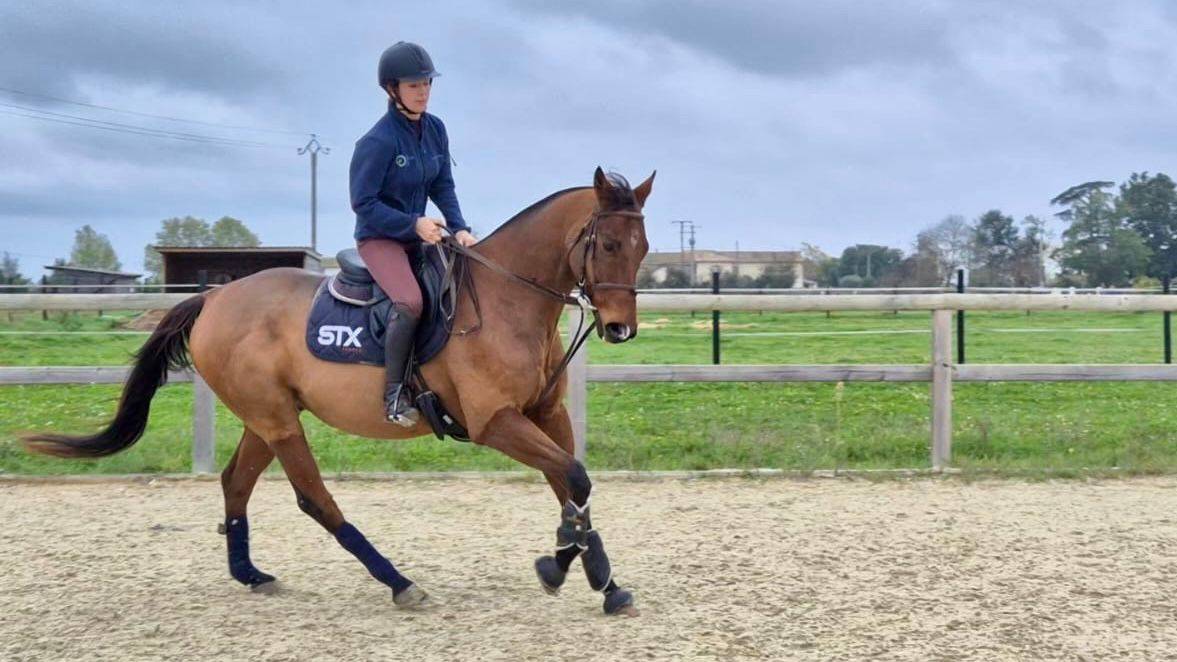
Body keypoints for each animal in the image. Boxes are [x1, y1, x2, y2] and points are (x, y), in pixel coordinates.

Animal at [25, 167, 654, 616]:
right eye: (608, 246)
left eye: (643, 247)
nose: (620, 329)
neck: (507, 301)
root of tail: (215, 297)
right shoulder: (495, 422)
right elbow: (572, 477)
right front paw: (566, 565)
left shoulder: (544, 414)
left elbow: (571, 482)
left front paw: (596, 576)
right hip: (279, 421)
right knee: (315, 500)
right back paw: (399, 583)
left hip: (267, 418)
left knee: (236, 482)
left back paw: (250, 574)